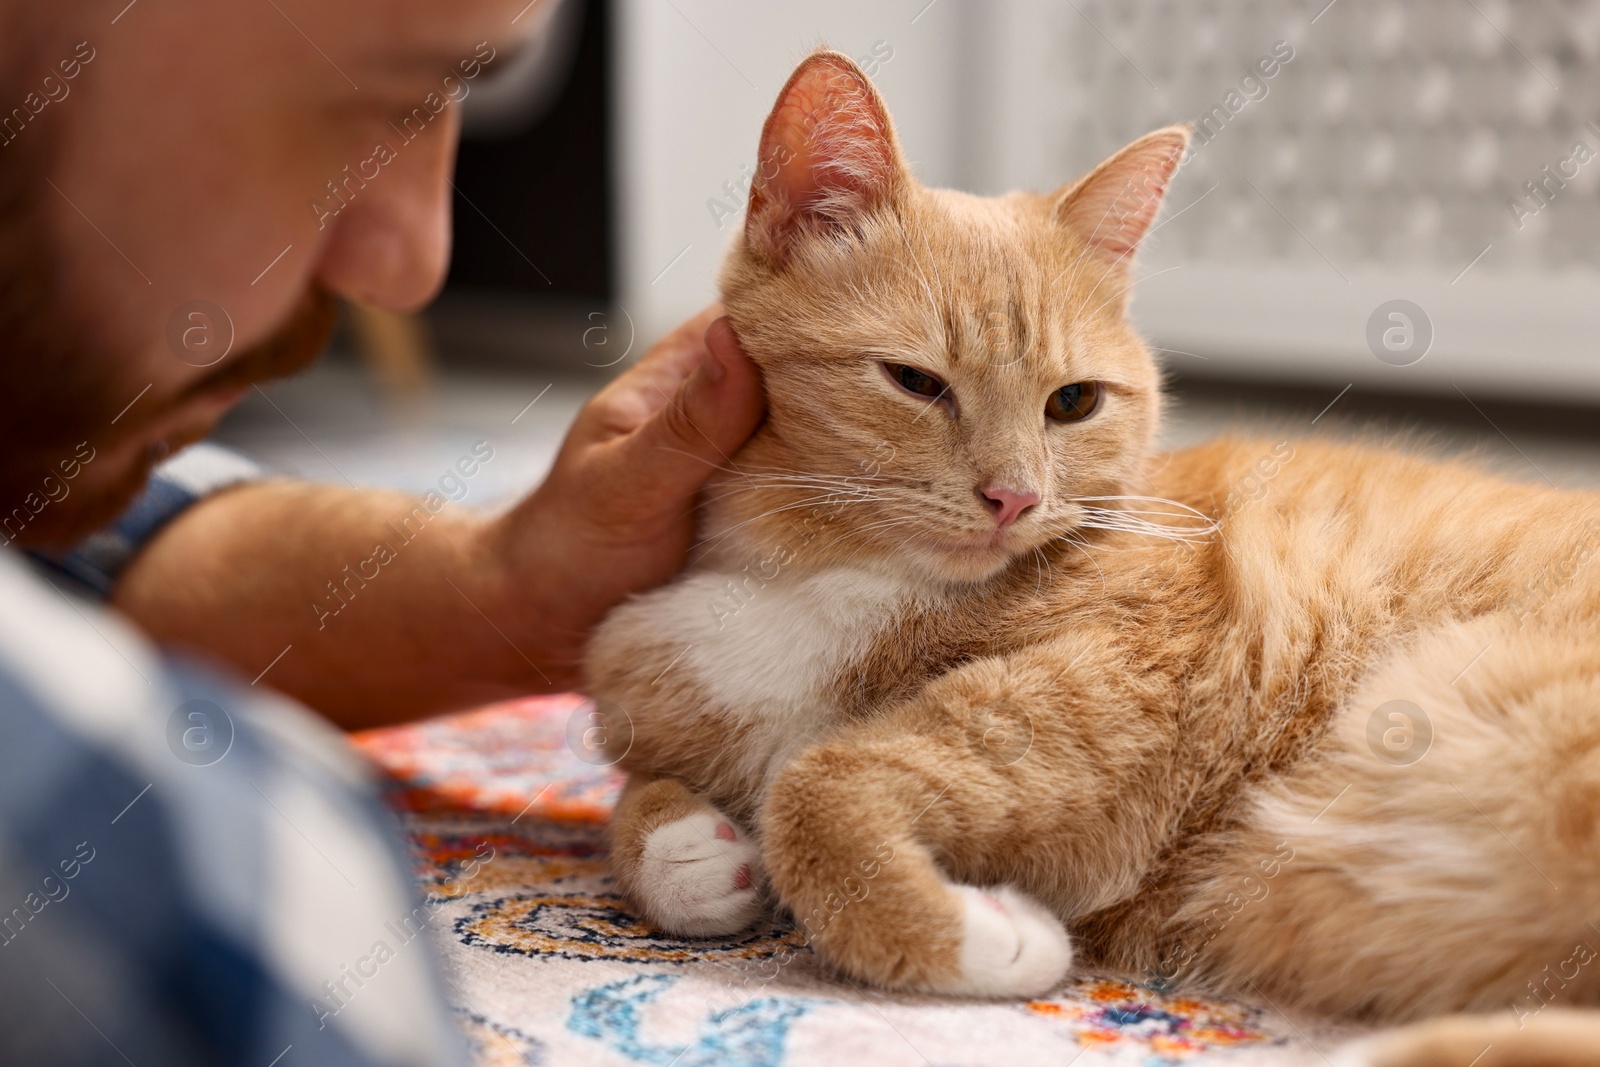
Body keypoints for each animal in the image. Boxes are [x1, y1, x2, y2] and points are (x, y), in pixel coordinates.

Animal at [582, 47, 1600, 1062]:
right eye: (916, 382)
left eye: (1073, 402)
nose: (1015, 497)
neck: (811, 572)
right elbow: (634, 800)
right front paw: (685, 848)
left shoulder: (1120, 682)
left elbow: (817, 787)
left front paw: (975, 937)